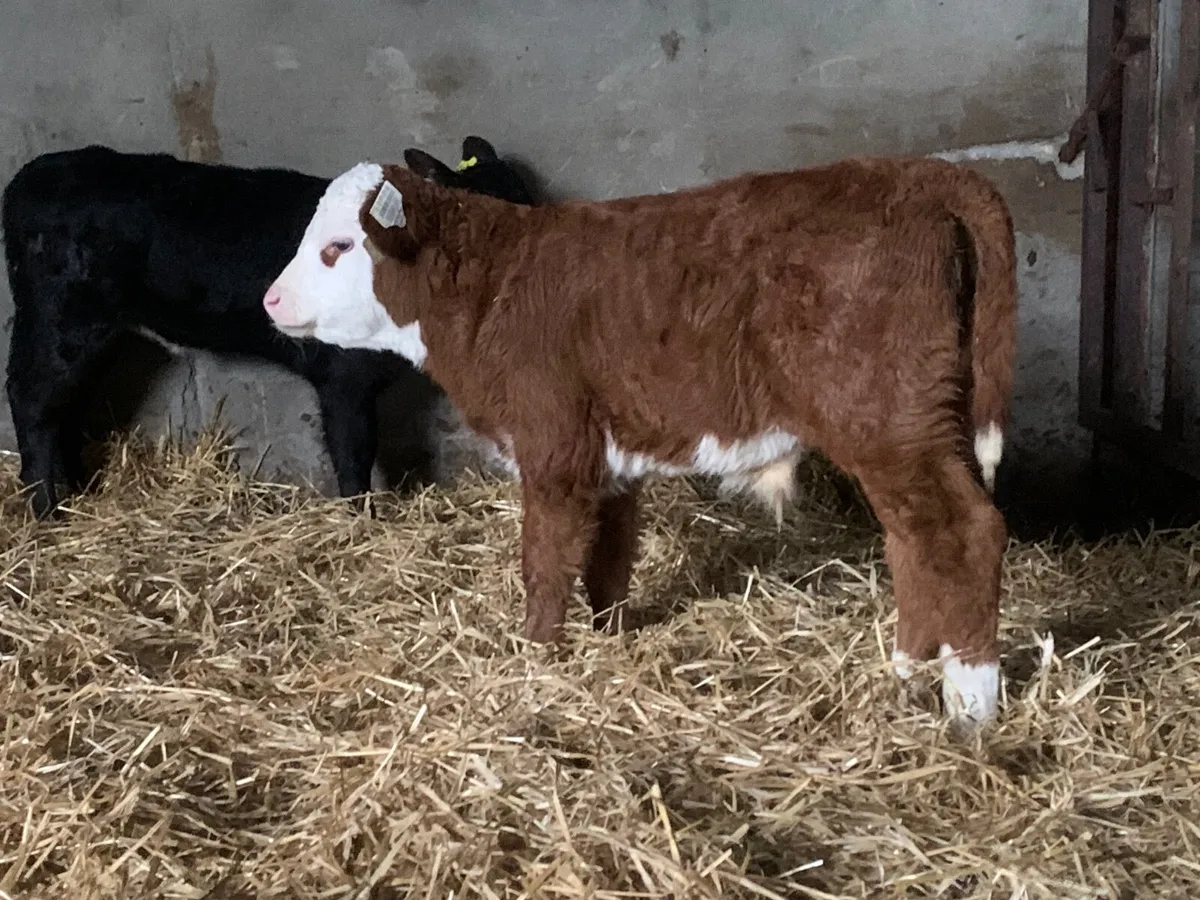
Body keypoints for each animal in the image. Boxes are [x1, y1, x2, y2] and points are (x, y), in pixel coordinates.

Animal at [1, 136, 534, 519]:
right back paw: (47, 509)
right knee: (32, 399)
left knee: (68, 404)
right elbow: (353, 450)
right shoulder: (343, 376)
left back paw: (78, 491)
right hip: (60, 318)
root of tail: (29, 178)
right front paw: (362, 521)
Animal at [261, 154, 1018, 726]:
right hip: (920, 422)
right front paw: (609, 638)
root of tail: (923, 173)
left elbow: (546, 561)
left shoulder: (554, 444)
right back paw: (907, 671)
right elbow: (608, 557)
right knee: (915, 538)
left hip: (890, 419)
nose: (270, 300)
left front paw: (536, 659)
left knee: (961, 531)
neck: (494, 289)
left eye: (337, 248)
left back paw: (970, 702)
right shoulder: (606, 458)